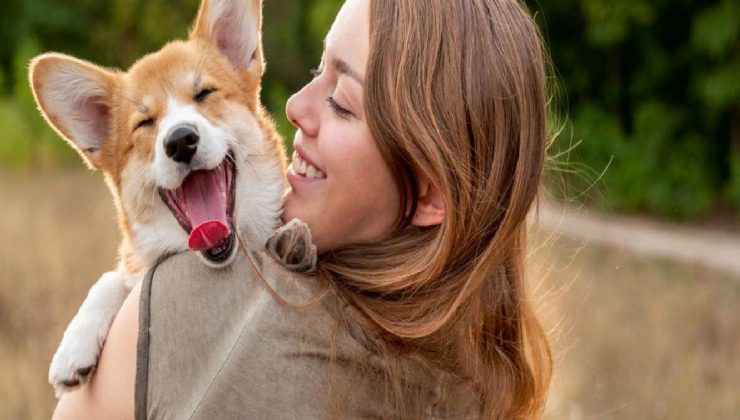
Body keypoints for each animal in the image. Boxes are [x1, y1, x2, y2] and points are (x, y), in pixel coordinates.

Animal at [27, 0, 312, 398]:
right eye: (145, 122)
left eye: (204, 93)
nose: (180, 140)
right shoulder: (134, 266)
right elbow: (112, 278)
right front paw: (74, 344)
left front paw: (294, 240)